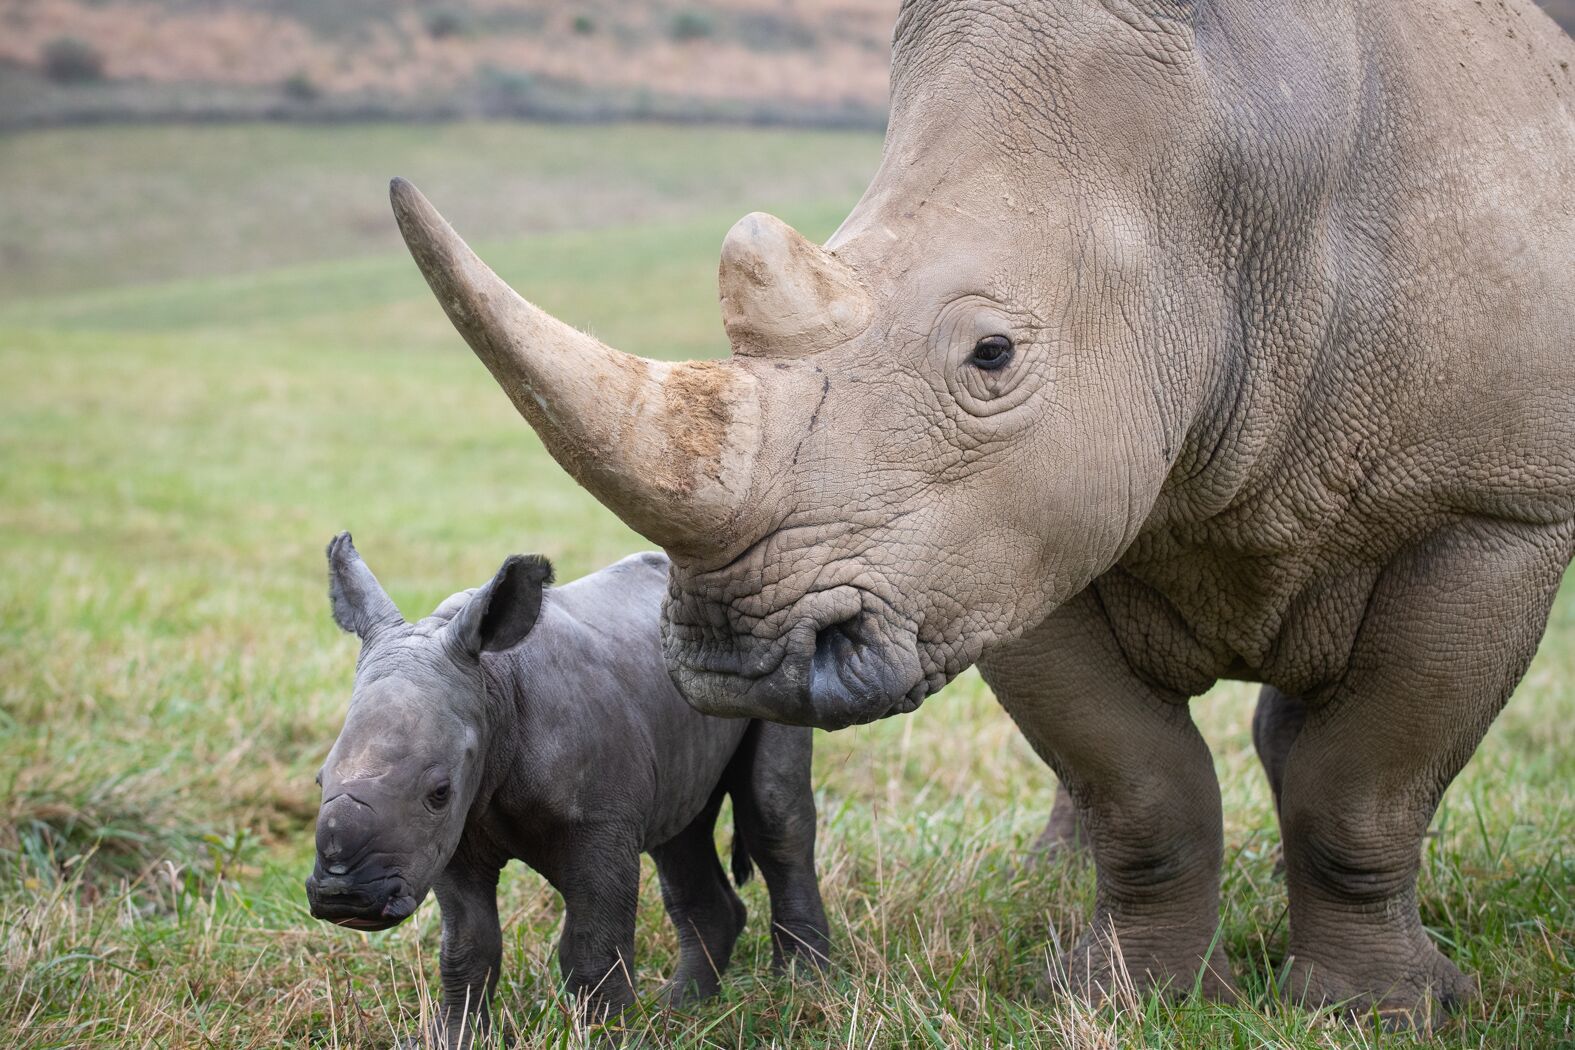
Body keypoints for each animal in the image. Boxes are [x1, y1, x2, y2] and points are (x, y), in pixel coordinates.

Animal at [305, 535, 829, 1044]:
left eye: (439, 791)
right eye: (320, 779)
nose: (344, 897)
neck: (491, 687)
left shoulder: (598, 826)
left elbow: (592, 947)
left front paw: (609, 1037)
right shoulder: (450, 841)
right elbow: (467, 945)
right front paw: (452, 1038)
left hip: (779, 665)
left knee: (773, 816)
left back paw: (802, 990)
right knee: (679, 837)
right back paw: (683, 1007)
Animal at [387, 0, 1575, 1027]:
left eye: (992, 354)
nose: (734, 659)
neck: (1224, 198)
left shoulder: (1494, 507)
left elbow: (1364, 784)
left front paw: (1379, 1011)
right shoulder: (995, 547)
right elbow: (1140, 787)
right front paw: (1129, 999)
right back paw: (1053, 881)